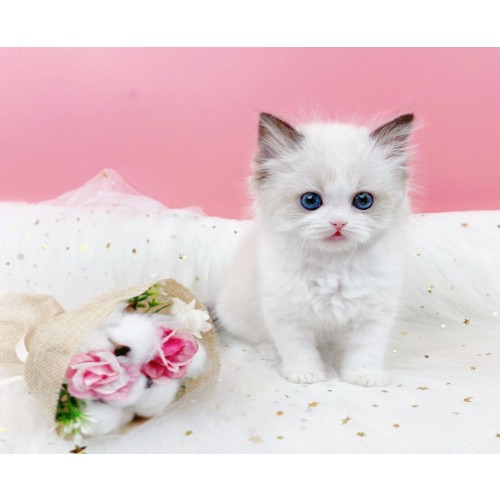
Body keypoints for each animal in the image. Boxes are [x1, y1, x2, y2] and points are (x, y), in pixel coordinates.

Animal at [216, 112, 414, 386]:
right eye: (310, 201)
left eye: (363, 201)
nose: (338, 223)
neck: (333, 268)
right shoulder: (286, 312)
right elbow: (297, 348)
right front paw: (305, 375)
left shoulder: (374, 314)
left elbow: (366, 350)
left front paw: (363, 377)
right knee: (258, 339)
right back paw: (271, 353)